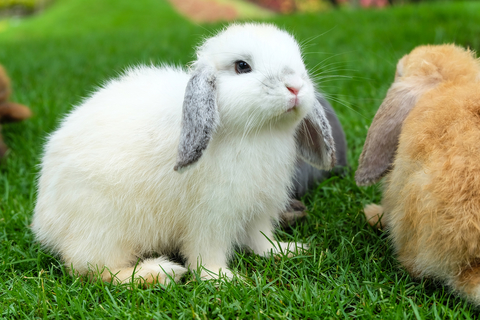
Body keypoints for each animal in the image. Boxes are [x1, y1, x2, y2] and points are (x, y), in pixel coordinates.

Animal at [31, 23, 336, 286]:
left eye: (299, 60)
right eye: (242, 66)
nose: (295, 87)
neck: (257, 133)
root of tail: (45, 223)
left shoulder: (259, 210)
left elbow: (260, 239)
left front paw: (286, 250)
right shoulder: (209, 217)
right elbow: (205, 254)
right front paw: (224, 279)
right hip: (104, 229)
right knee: (94, 269)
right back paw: (159, 273)